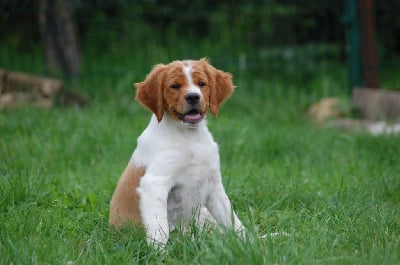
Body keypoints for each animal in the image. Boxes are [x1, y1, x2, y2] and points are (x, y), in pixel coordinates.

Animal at [109, 57, 244, 245]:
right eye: (175, 86)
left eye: (201, 83)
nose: (193, 96)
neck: (189, 138)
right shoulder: (154, 183)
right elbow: (159, 230)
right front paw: (160, 252)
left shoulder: (213, 185)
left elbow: (233, 221)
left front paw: (251, 243)